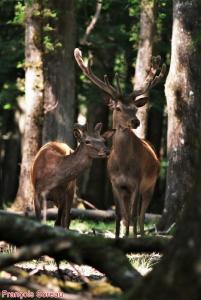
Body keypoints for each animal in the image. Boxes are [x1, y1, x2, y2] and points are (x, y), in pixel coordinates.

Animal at [74, 48, 166, 237]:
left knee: (141, 214)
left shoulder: (137, 182)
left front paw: (131, 237)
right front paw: (118, 236)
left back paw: (141, 235)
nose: (136, 122)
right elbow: (118, 214)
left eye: (135, 108)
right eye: (117, 107)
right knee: (129, 213)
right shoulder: (115, 184)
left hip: (150, 185)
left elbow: (133, 214)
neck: (123, 165)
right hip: (129, 191)